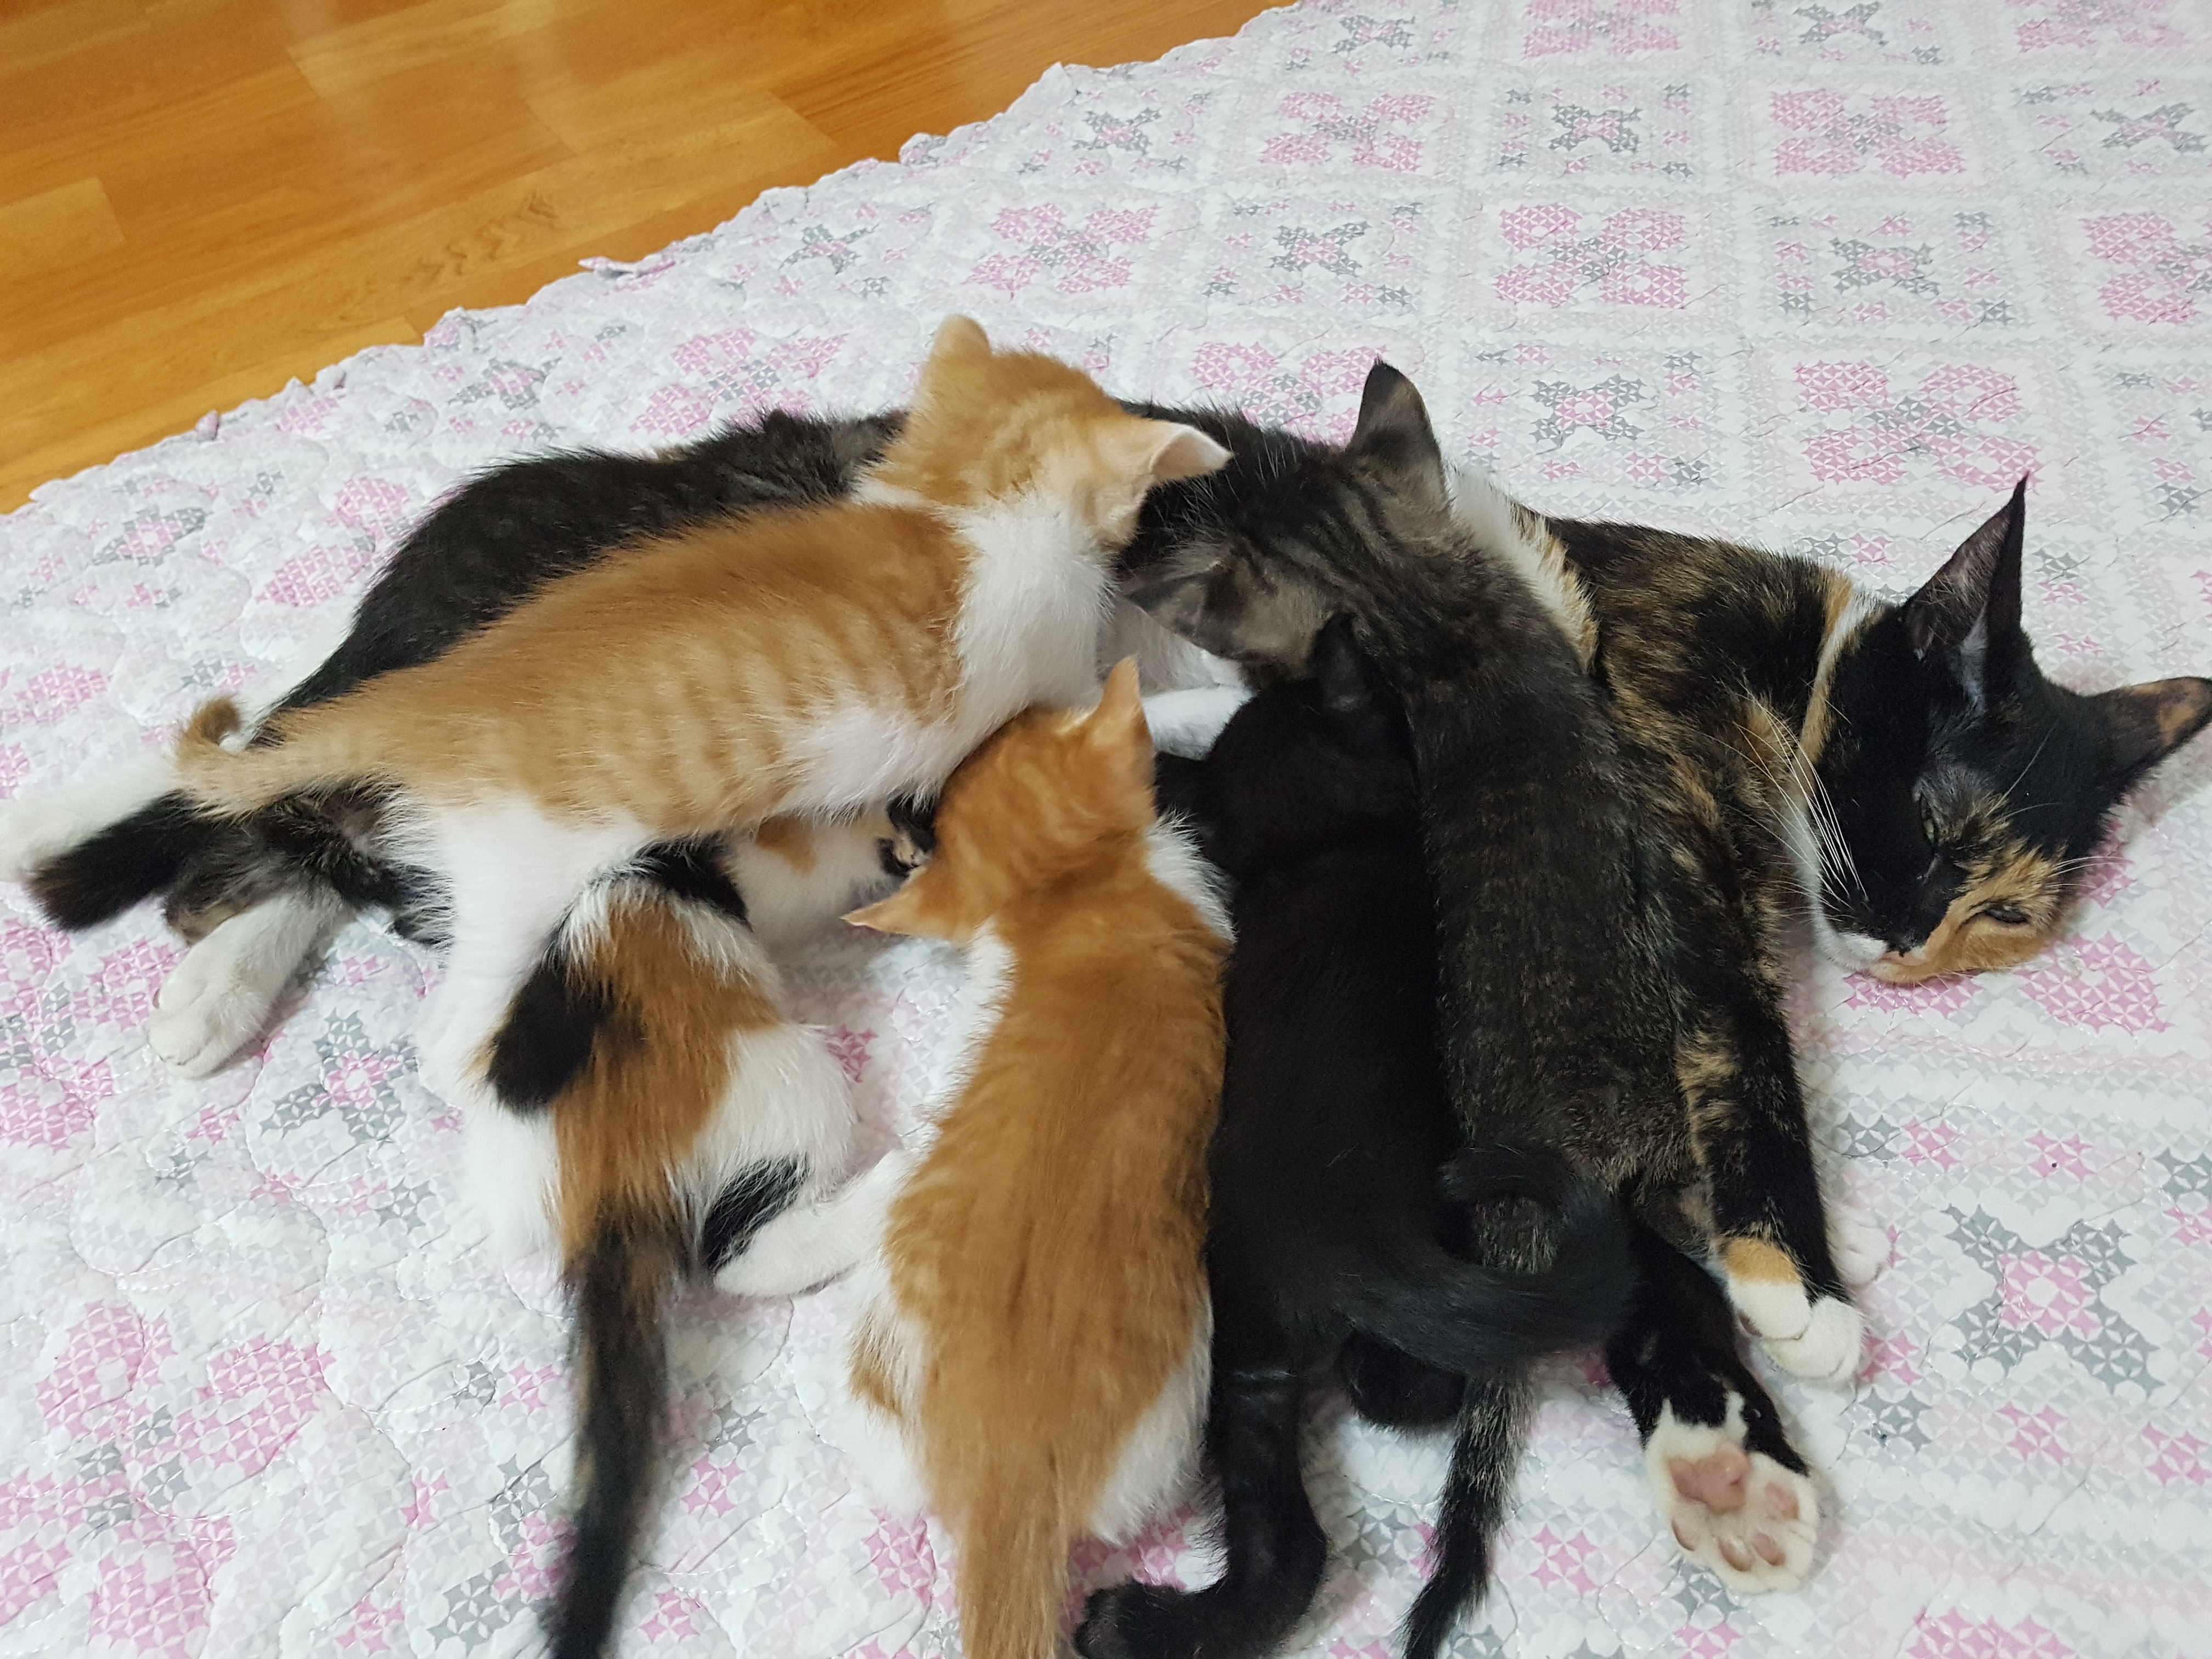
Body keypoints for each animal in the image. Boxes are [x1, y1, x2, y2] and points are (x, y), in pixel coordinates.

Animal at [1077, 616, 1637, 1659]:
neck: (1330, 843)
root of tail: (1356, 1227)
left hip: (1242, 1339)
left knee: (1290, 1548)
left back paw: (1132, 1621)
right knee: (1403, 1393)